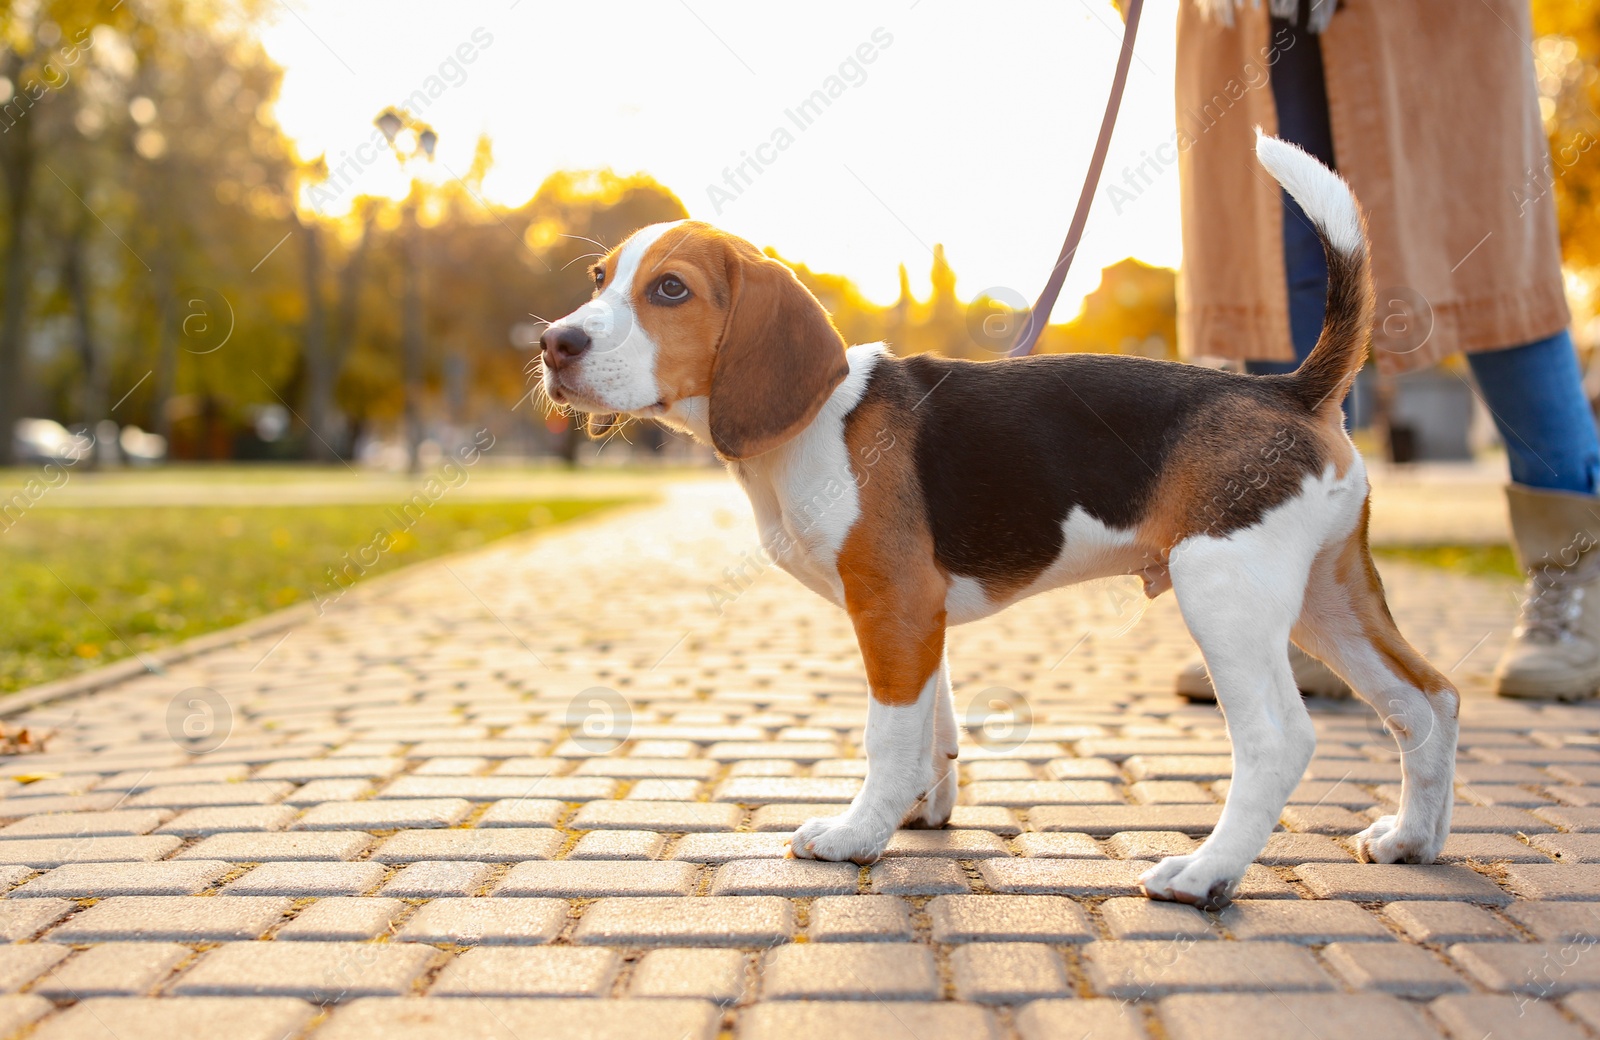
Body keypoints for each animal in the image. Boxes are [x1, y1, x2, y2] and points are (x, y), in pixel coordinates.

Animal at [544, 136, 1459, 908]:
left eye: (671, 290)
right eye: (597, 280)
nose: (554, 342)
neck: (814, 422)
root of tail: (1289, 390)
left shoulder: (891, 605)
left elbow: (887, 737)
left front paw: (856, 833)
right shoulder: (920, 617)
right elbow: (933, 730)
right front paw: (921, 813)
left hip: (1222, 589)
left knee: (1278, 739)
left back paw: (1205, 873)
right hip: (1326, 598)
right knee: (1428, 701)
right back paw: (1413, 839)